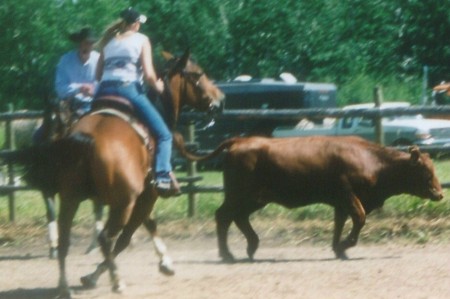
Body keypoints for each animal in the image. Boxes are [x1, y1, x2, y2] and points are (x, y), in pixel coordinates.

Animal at [7, 50, 223, 298]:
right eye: (198, 74)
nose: (220, 99)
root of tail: (87, 138)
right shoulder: (145, 195)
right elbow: (128, 236)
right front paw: (98, 275)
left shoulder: (128, 198)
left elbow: (146, 225)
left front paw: (164, 261)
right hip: (122, 204)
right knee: (107, 237)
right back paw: (116, 280)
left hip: (71, 198)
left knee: (66, 239)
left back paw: (64, 286)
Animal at [176, 135, 442, 262]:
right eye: (426, 172)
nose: (439, 193)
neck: (372, 160)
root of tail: (240, 140)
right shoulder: (348, 196)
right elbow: (359, 218)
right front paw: (345, 246)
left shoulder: (340, 203)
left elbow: (339, 224)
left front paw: (338, 248)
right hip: (240, 196)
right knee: (224, 217)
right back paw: (228, 254)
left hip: (254, 199)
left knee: (238, 218)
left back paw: (251, 246)